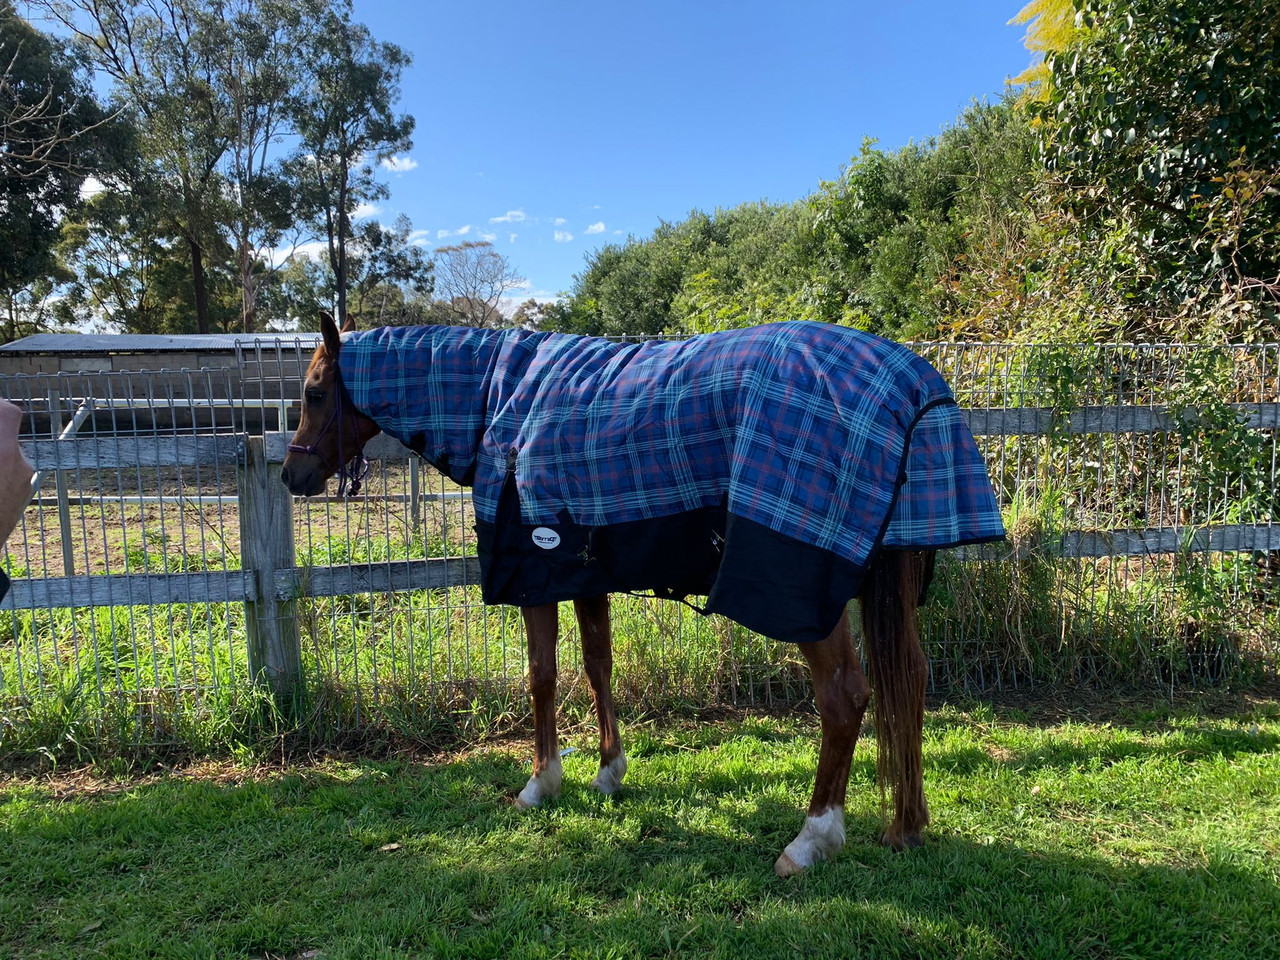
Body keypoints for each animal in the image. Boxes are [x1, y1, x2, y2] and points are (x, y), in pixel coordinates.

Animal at [281, 311, 1004, 876]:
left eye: (315, 392)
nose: (292, 475)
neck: (505, 398)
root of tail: (914, 388)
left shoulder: (535, 574)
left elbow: (541, 675)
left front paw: (540, 783)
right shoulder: (582, 570)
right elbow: (598, 665)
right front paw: (608, 772)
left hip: (804, 594)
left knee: (846, 697)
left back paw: (810, 840)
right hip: (891, 581)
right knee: (909, 678)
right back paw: (906, 826)